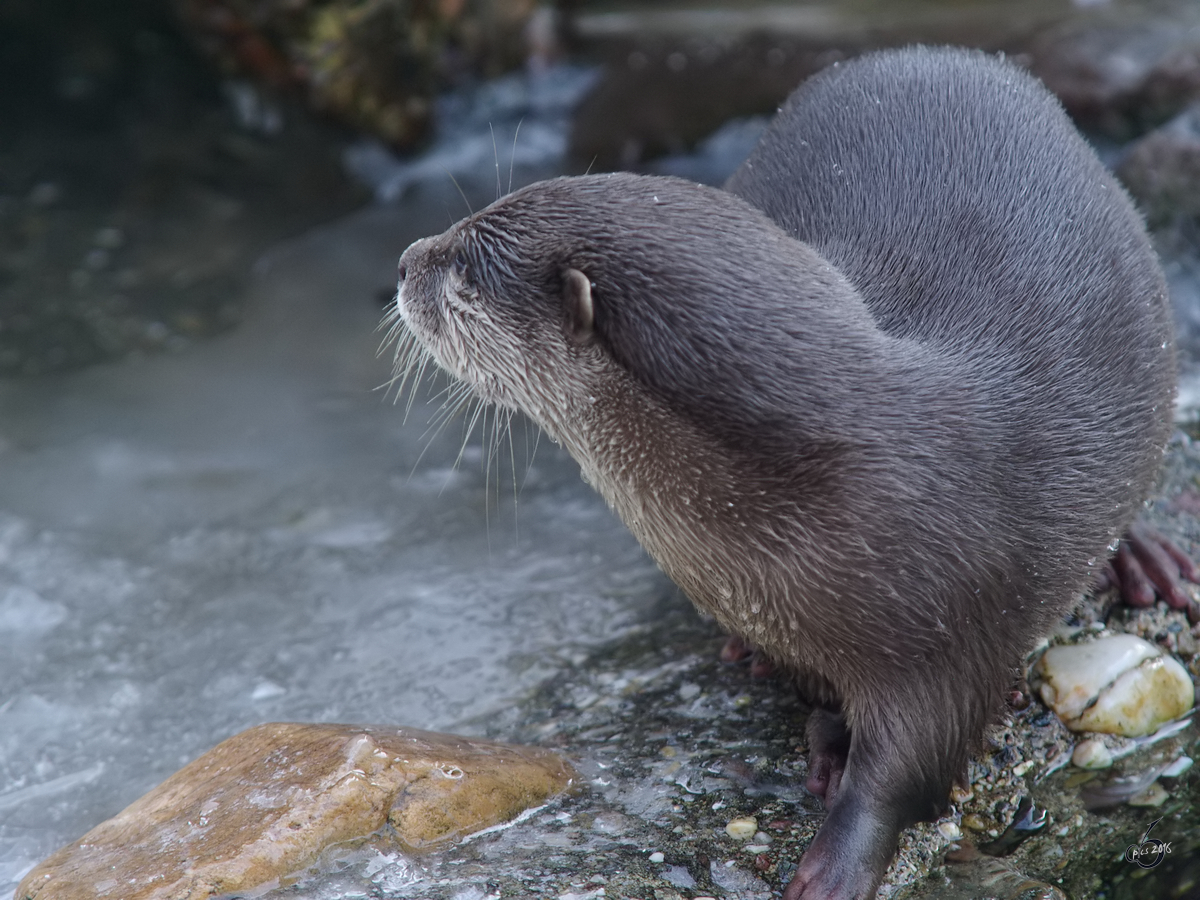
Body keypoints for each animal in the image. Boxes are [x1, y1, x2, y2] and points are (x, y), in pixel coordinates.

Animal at [391, 47, 1171, 900]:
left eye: (464, 277)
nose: (405, 260)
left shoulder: (956, 631)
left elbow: (913, 766)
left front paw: (838, 858)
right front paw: (819, 728)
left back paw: (1145, 561)